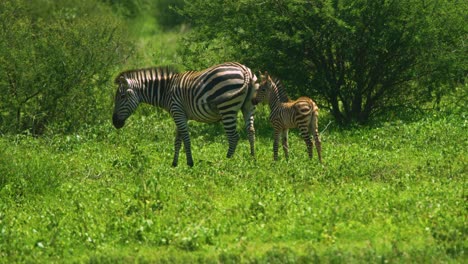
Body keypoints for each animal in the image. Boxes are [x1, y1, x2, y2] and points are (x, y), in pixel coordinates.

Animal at [114, 62, 260, 167]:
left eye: (122, 97)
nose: (115, 123)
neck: (165, 90)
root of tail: (244, 69)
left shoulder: (177, 112)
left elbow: (186, 138)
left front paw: (190, 163)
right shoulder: (179, 114)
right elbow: (178, 140)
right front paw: (174, 163)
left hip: (227, 107)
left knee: (233, 137)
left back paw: (227, 160)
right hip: (249, 106)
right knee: (251, 131)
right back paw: (252, 158)